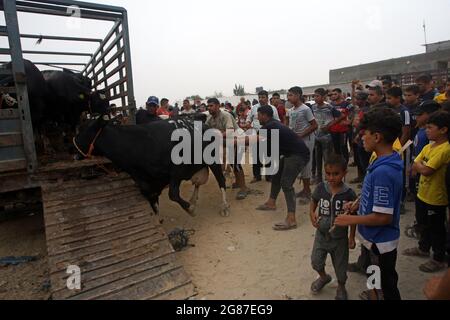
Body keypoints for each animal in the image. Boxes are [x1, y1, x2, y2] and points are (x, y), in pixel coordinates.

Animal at [74, 117, 232, 218]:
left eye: (83, 130)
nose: (72, 146)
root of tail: (206, 126)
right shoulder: (146, 184)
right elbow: (154, 204)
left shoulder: (176, 171)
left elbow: (173, 194)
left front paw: (190, 209)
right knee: (198, 183)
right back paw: (193, 199)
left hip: (213, 161)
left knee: (221, 181)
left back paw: (224, 206)